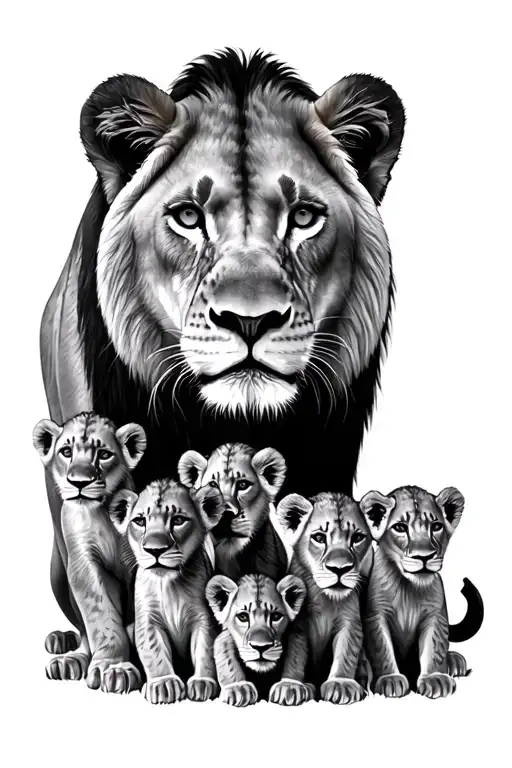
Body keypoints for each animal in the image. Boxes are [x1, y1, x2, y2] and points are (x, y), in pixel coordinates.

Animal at [33, 411, 146, 691]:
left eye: (104, 454)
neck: (100, 513)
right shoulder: (83, 563)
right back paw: (68, 659)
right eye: (66, 451)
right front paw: (112, 667)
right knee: (83, 633)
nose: (79, 482)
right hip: (58, 575)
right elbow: (101, 618)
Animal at [109, 479, 225, 704]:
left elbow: (205, 648)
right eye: (140, 521)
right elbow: (153, 651)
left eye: (178, 520)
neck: (169, 584)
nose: (155, 550)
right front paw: (164, 684)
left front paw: (203, 682)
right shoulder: (147, 620)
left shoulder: (204, 618)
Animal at [206, 573, 308, 706]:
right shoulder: (225, 636)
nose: (261, 647)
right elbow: (225, 654)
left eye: (276, 616)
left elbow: (296, 653)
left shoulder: (296, 632)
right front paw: (238, 689)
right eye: (243, 617)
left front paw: (289, 687)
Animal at [271, 492, 374, 705]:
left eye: (357, 538)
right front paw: (290, 685)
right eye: (319, 537)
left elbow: (347, 651)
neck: (325, 598)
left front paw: (341, 684)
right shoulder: (298, 625)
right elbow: (294, 654)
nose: (339, 569)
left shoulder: (350, 621)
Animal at [359, 485, 484, 699]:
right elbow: (382, 647)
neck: (408, 588)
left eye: (436, 526)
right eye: (400, 527)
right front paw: (390, 680)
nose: (424, 557)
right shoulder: (376, 615)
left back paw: (454, 662)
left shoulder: (435, 615)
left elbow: (434, 646)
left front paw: (435, 679)